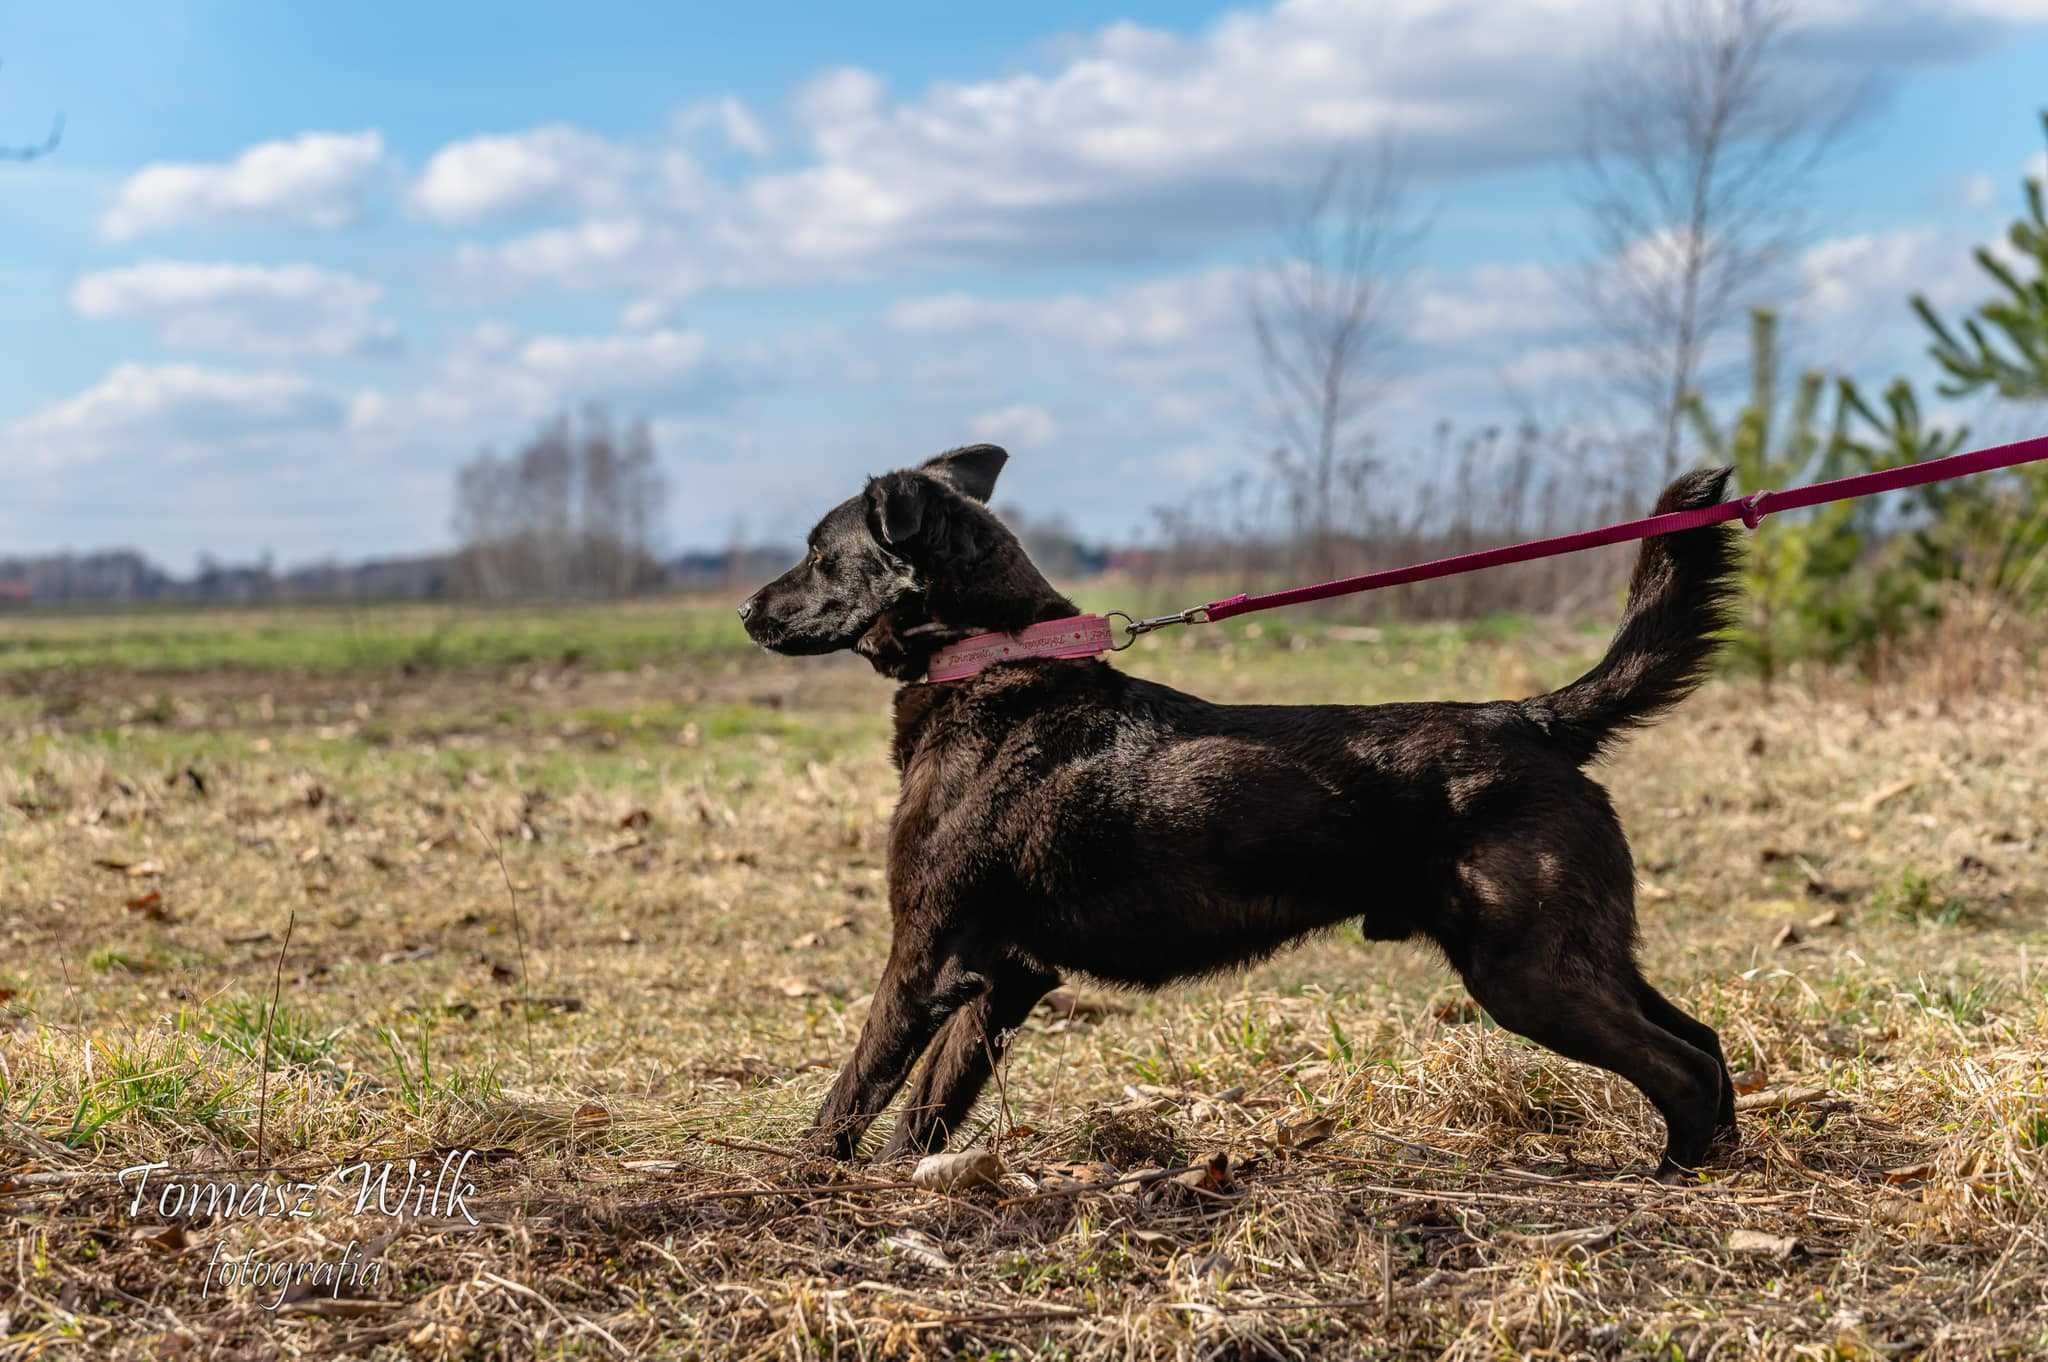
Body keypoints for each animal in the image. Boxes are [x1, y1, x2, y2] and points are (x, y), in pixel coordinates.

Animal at [745, 444, 1736, 1171]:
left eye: (817, 553)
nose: (749, 609)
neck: (993, 659)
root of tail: (1529, 717)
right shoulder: (1008, 974)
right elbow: (929, 1102)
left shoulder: (926, 957)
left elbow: (857, 1087)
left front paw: (802, 1181)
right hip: (1580, 956)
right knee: (1705, 1042)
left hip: (1527, 973)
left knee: (1683, 1065)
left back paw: (1673, 1178)